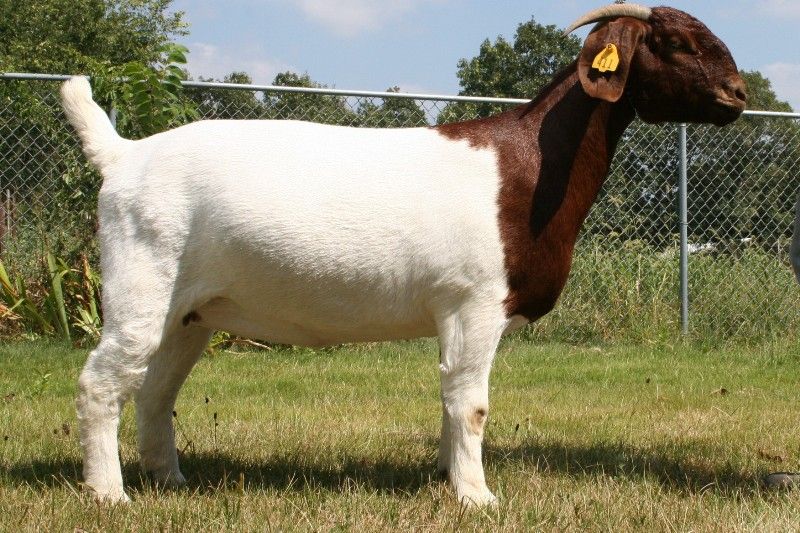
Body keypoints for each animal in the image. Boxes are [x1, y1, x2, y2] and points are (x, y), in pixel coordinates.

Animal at [61, 3, 746, 506]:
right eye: (676, 42)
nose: (738, 92)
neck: (527, 168)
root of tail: (123, 154)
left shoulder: (453, 312)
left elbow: (449, 397)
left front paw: (447, 478)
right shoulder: (476, 302)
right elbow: (471, 402)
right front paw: (477, 497)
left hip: (190, 313)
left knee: (154, 390)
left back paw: (168, 478)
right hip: (141, 282)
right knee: (102, 381)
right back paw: (109, 494)